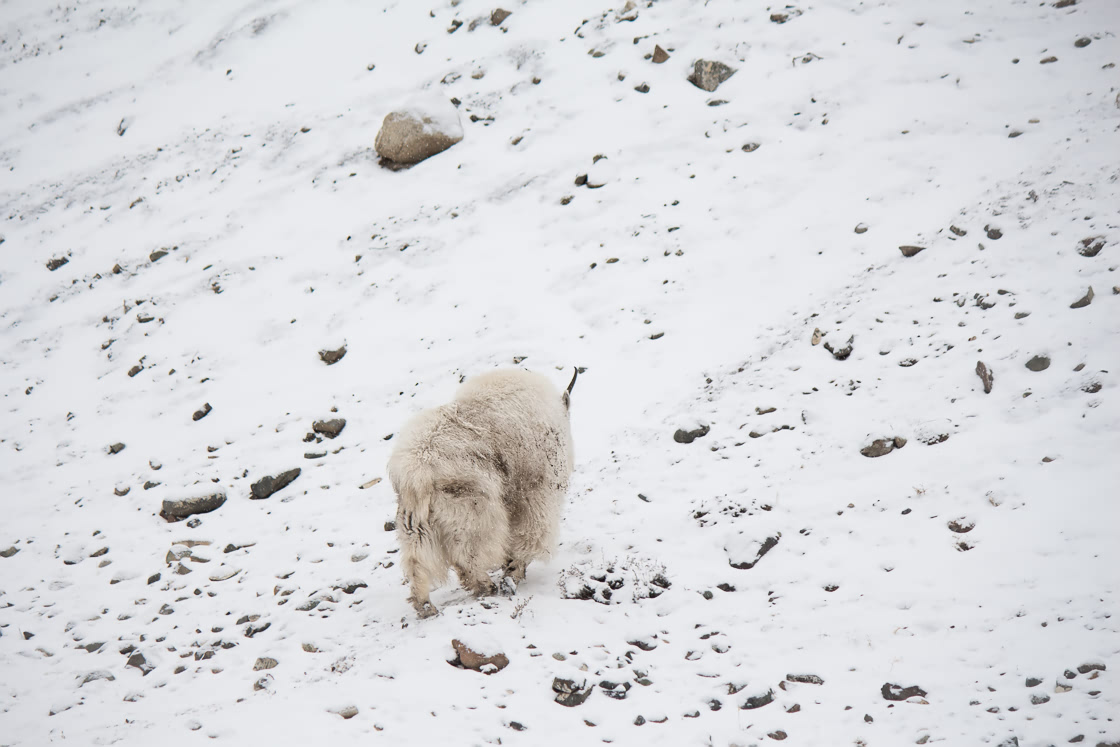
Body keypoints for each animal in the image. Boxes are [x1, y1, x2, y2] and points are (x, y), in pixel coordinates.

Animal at [387, 367, 577, 618]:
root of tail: (415, 475)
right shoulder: (536, 491)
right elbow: (532, 532)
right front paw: (514, 571)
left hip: (414, 523)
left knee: (416, 561)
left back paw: (425, 605)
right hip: (473, 510)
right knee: (468, 554)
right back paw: (486, 585)